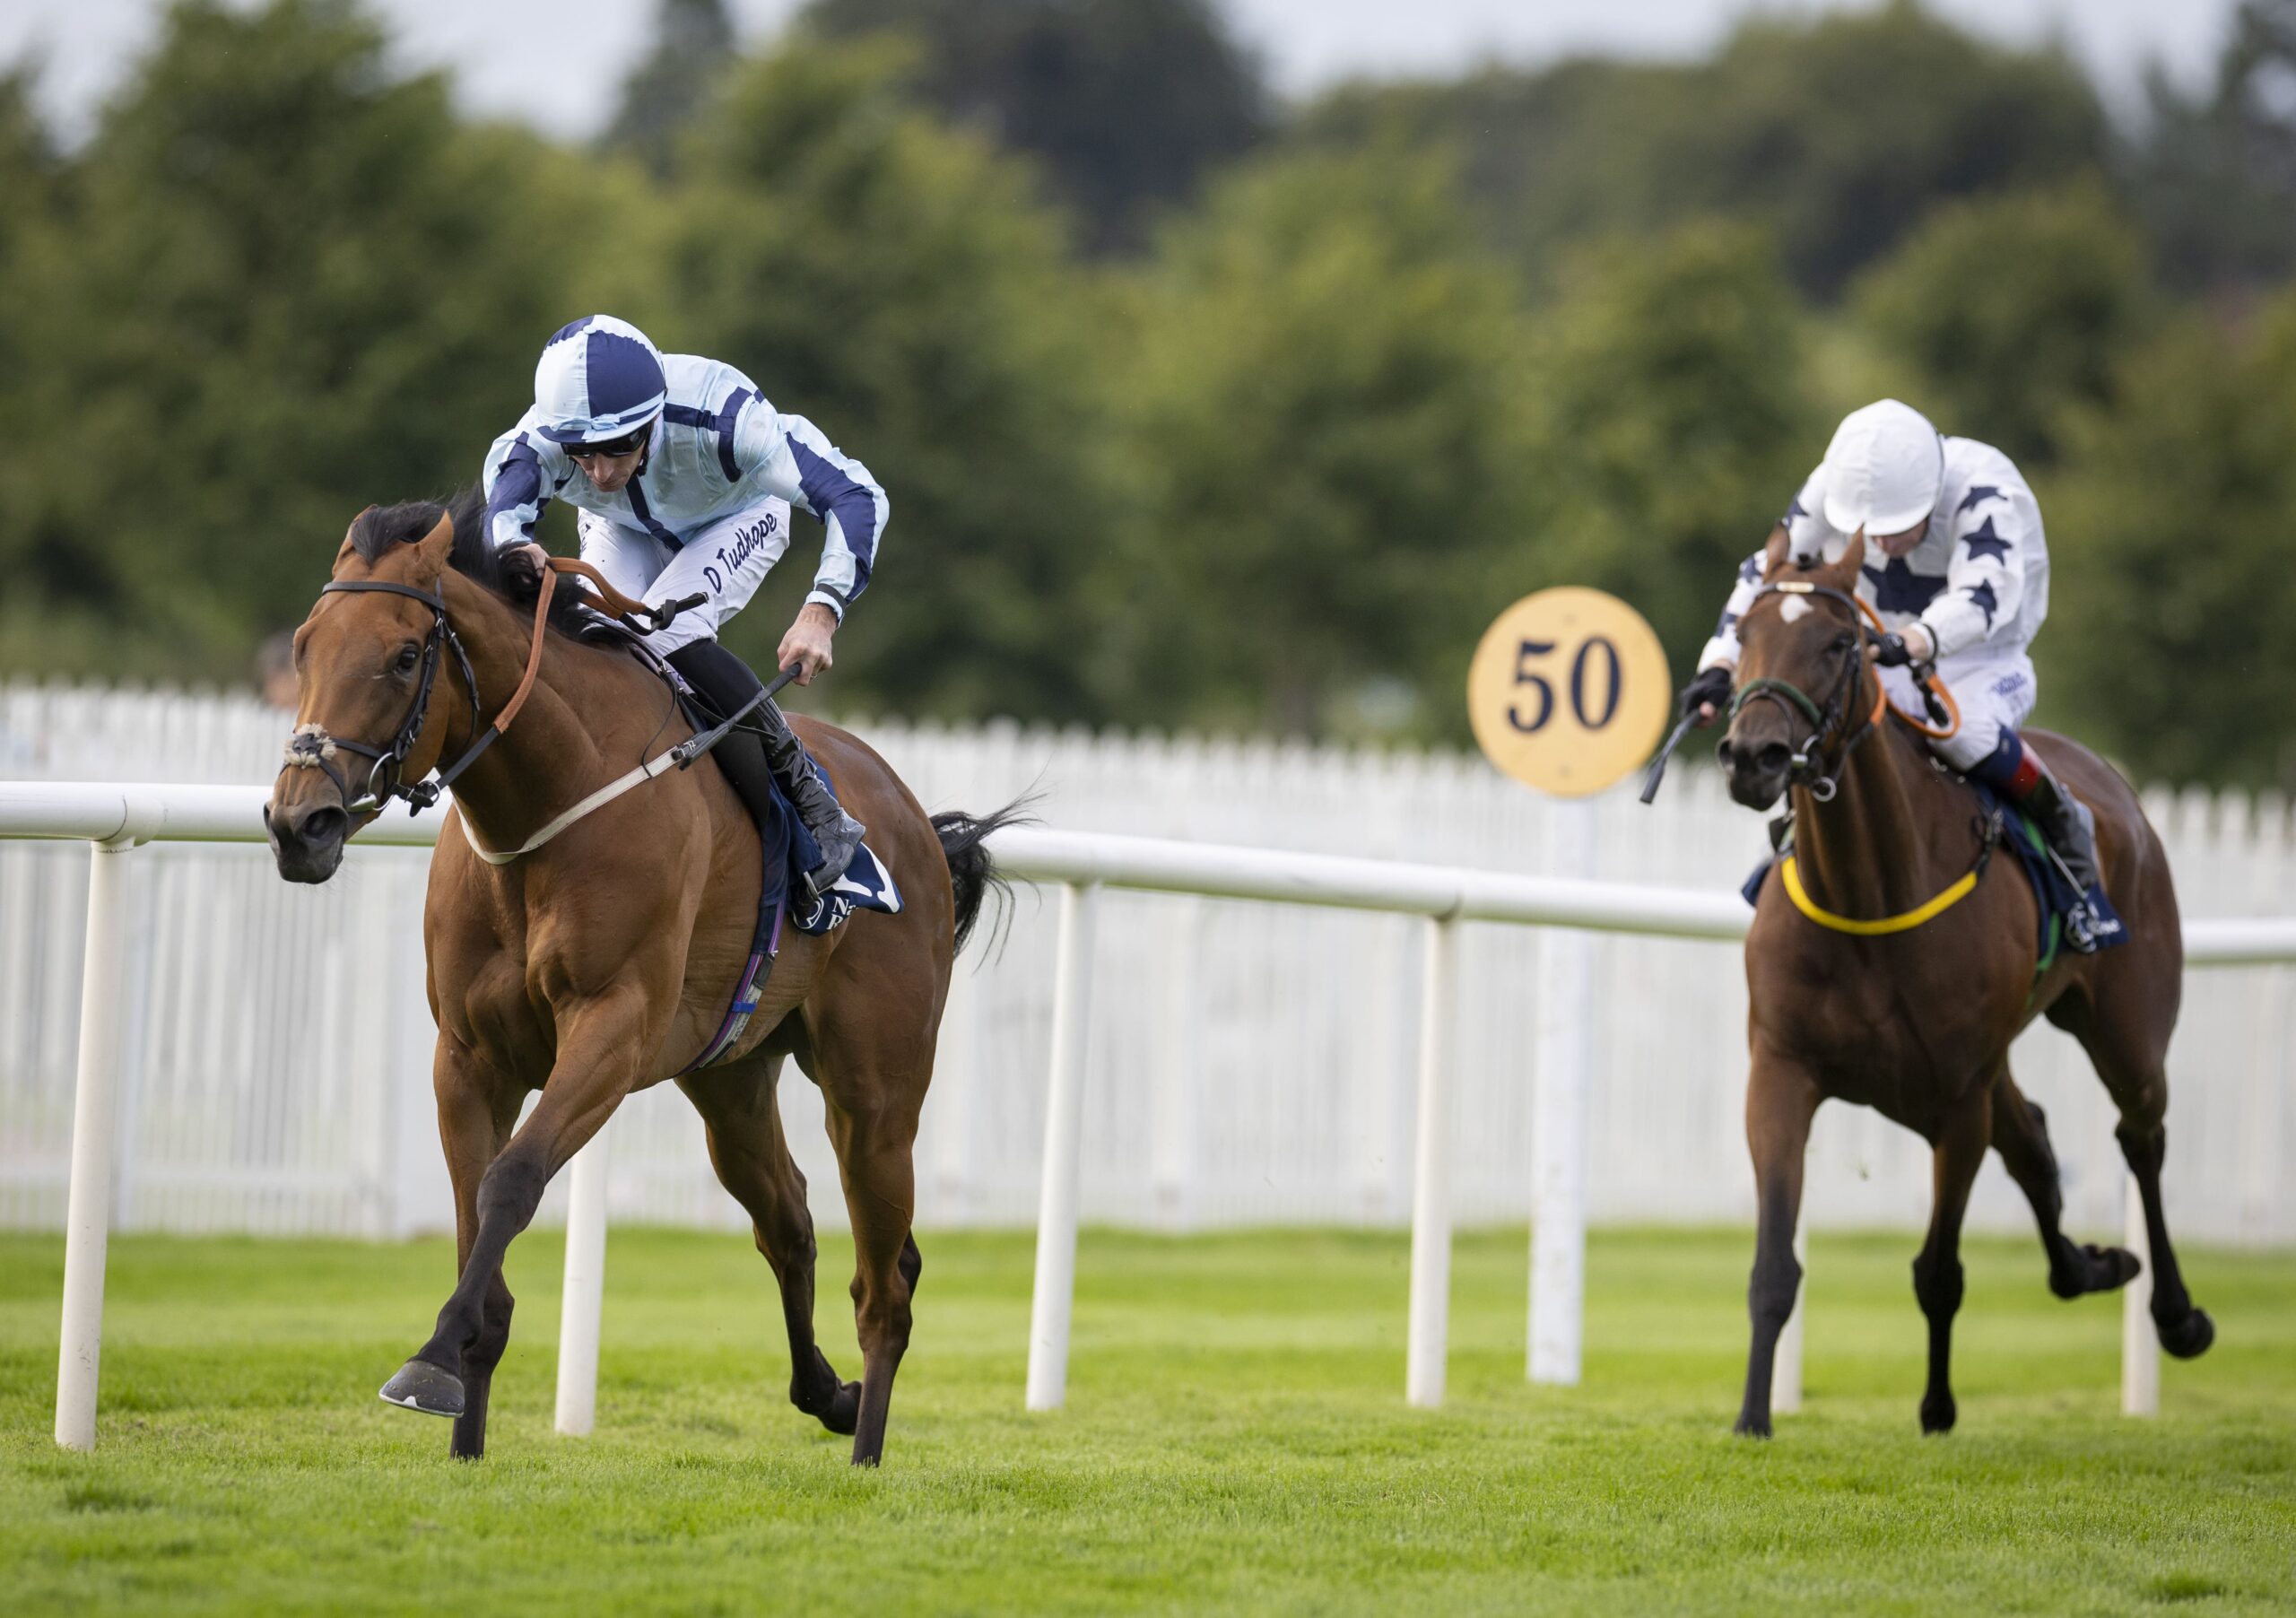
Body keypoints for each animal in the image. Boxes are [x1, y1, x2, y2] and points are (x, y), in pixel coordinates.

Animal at [263, 491, 1014, 1468]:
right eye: (305, 644)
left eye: (403, 655)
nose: (298, 824)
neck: (547, 805)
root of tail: (915, 819)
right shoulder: (467, 1055)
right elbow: (474, 1218)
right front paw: (464, 1431)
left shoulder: (611, 1027)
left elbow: (512, 1180)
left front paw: (427, 1364)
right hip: (731, 1081)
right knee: (790, 1222)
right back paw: (830, 1396)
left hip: (876, 1096)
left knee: (884, 1282)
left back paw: (867, 1449)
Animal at [1717, 530, 2213, 1440]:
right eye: (1746, 635)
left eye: (1839, 644)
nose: (1752, 756)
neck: (1870, 894)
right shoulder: (1781, 1072)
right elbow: (1774, 1268)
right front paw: (1752, 1419)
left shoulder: (1955, 1102)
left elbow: (1938, 1270)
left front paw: (1937, 1405)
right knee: (2035, 1144)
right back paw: (2090, 1266)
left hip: (2124, 1032)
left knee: (2141, 1138)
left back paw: (2178, 1315)